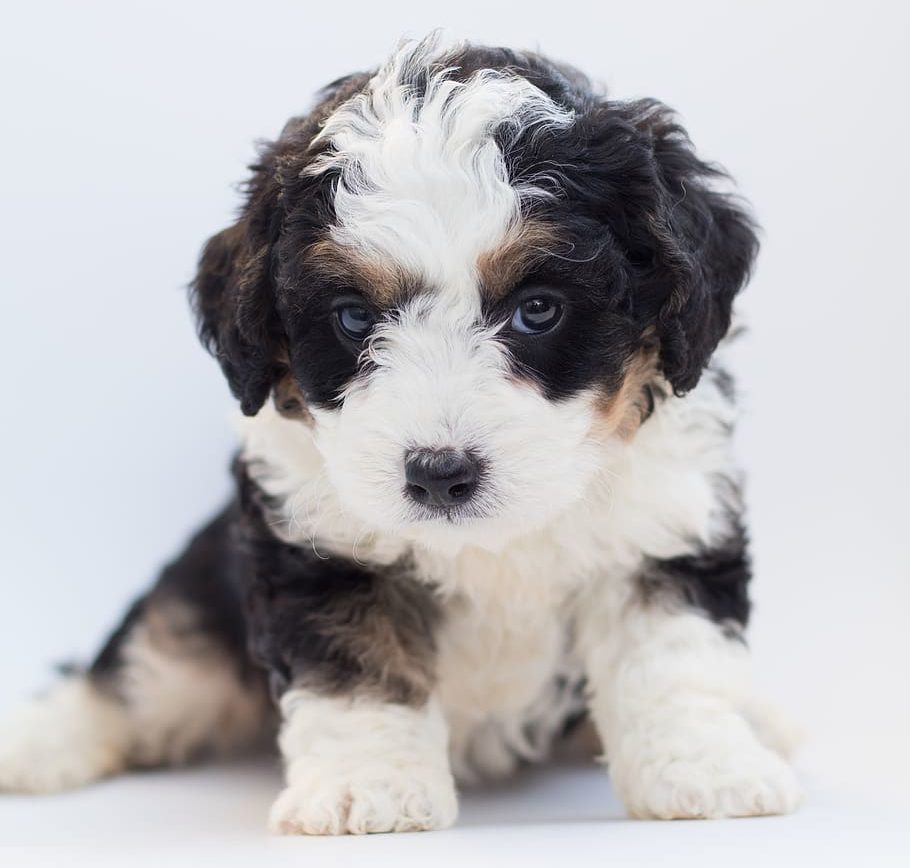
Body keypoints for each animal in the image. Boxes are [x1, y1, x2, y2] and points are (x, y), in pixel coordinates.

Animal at [0, 34, 800, 836]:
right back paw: (37, 741)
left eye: (539, 309)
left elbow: (671, 655)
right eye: (354, 318)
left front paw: (703, 770)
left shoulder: (664, 520)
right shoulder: (318, 544)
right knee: (144, 669)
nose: (440, 474)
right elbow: (358, 666)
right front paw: (369, 787)